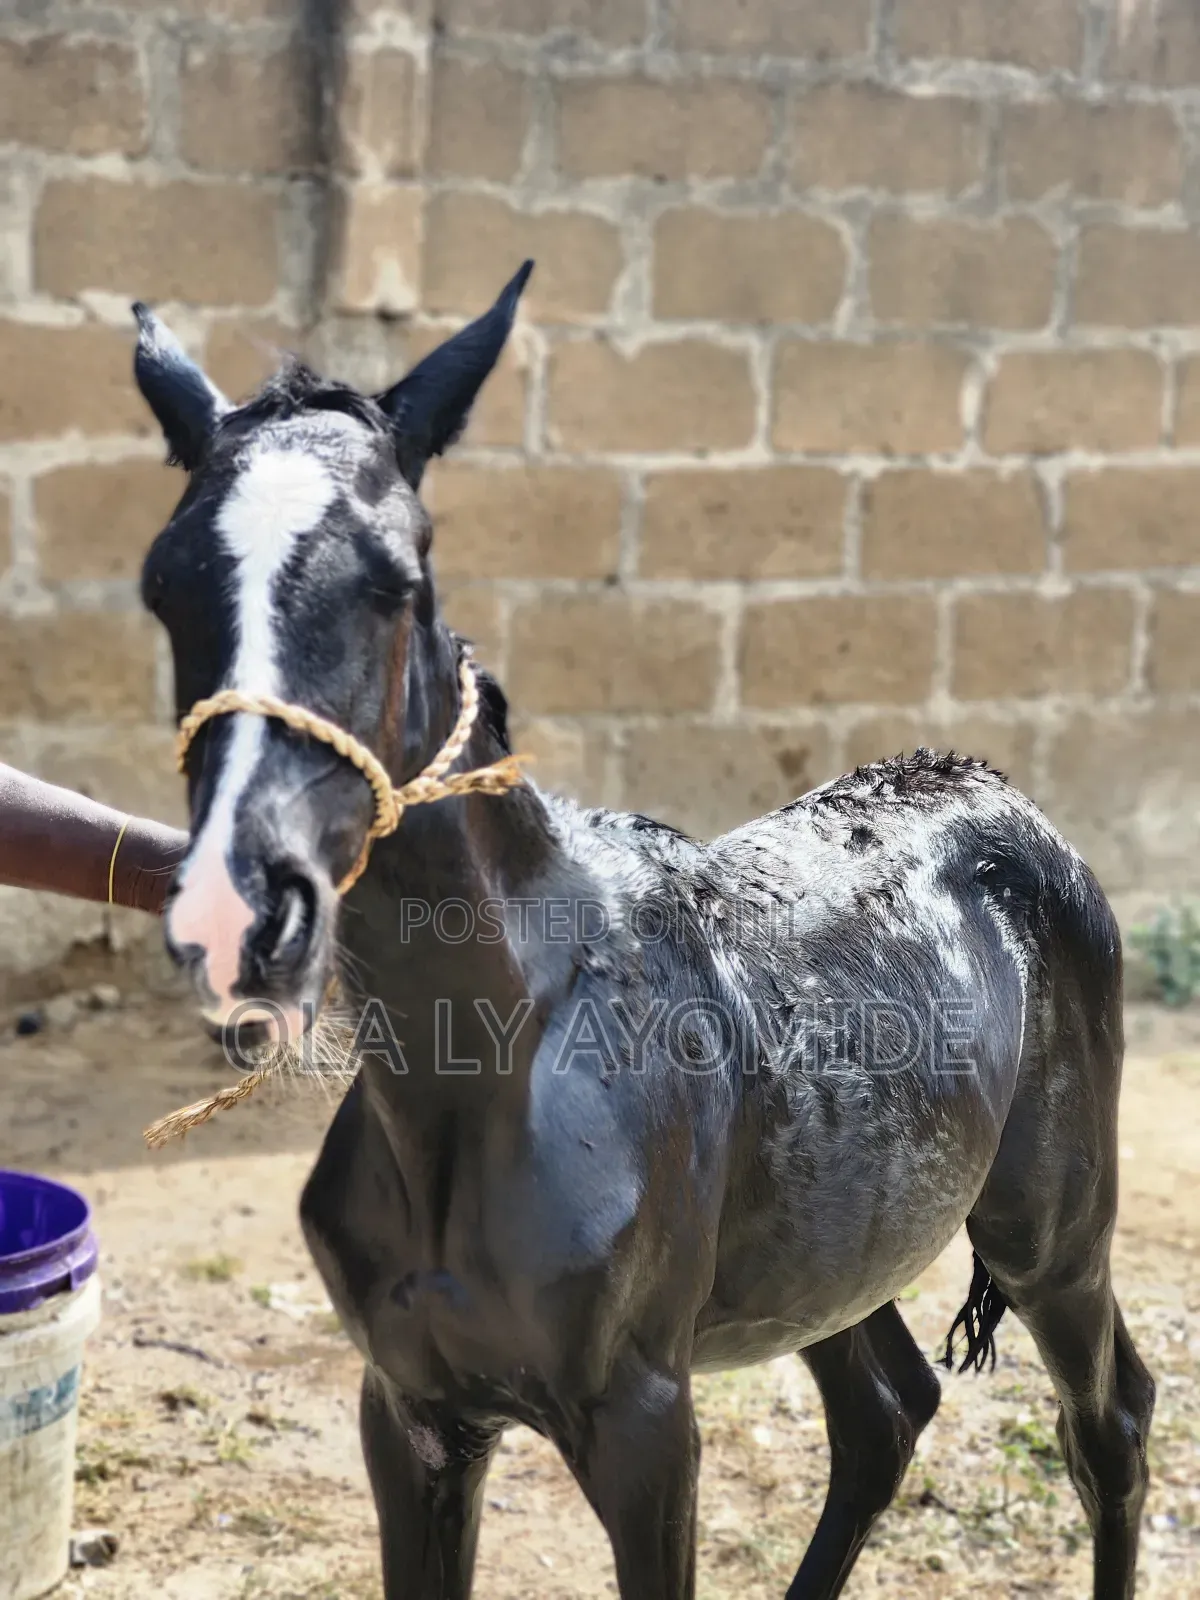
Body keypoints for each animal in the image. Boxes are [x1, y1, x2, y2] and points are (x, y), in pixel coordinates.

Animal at [133, 263, 1154, 1600]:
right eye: (162, 584)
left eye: (398, 575)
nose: (240, 908)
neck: (499, 1069)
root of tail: (998, 791)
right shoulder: (410, 1414)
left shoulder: (644, 1426)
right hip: (826, 1246)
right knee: (885, 1408)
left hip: (1052, 1232)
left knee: (1110, 1424)